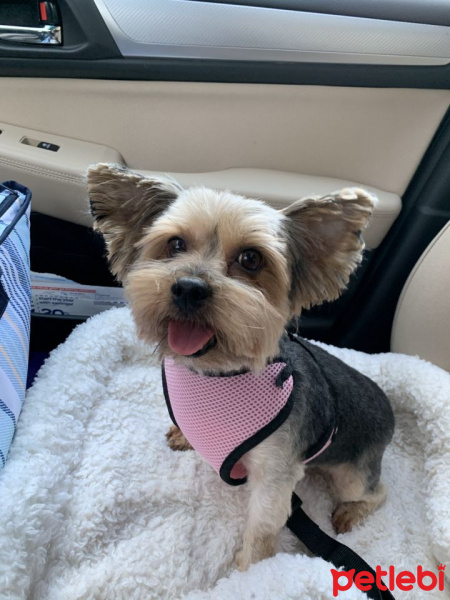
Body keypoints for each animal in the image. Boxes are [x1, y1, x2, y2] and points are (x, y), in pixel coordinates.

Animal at [87, 163, 394, 572]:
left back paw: (351, 511)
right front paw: (184, 435)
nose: (188, 288)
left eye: (251, 259)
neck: (220, 372)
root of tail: (390, 408)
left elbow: (263, 526)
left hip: (355, 468)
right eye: (175, 245)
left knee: (376, 492)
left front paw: (247, 571)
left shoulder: (275, 473)